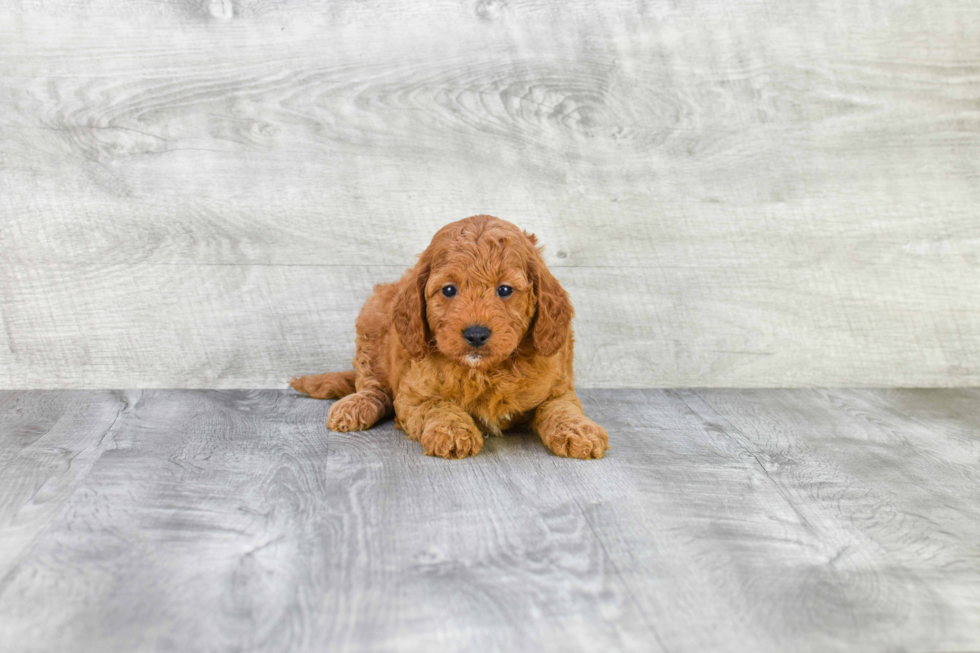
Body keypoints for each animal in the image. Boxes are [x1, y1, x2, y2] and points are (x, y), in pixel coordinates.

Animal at [290, 214, 608, 458]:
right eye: (449, 290)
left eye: (505, 290)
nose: (476, 334)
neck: (485, 372)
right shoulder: (413, 394)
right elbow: (437, 406)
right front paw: (453, 431)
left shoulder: (557, 386)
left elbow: (562, 408)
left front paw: (580, 431)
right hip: (371, 323)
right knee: (371, 385)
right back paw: (357, 405)